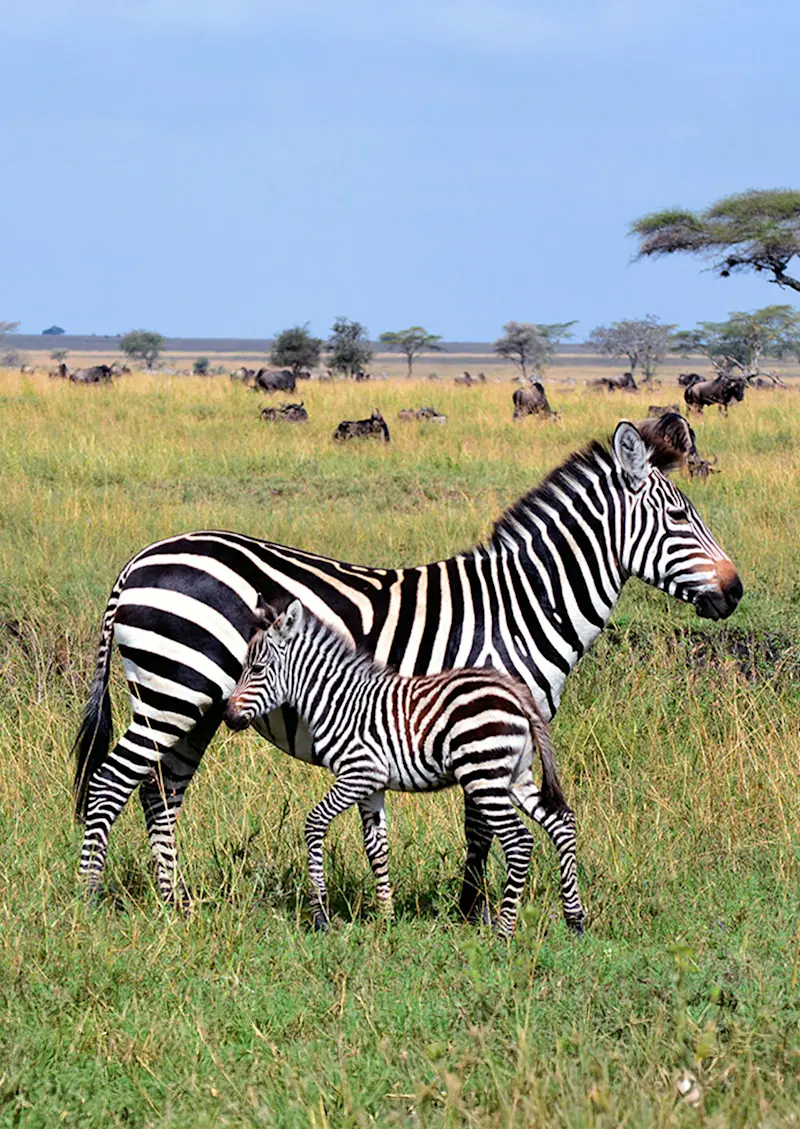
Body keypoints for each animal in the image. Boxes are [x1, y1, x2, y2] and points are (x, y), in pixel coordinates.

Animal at [223, 597, 584, 937]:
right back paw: (575, 920)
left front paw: (321, 915)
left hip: (483, 775)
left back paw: (504, 930)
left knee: (519, 840)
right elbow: (376, 848)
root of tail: (514, 691)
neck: (337, 701)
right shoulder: (373, 785)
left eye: (258, 669)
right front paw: (386, 917)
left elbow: (314, 824)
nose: (227, 717)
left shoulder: (358, 773)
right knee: (561, 822)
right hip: (514, 776)